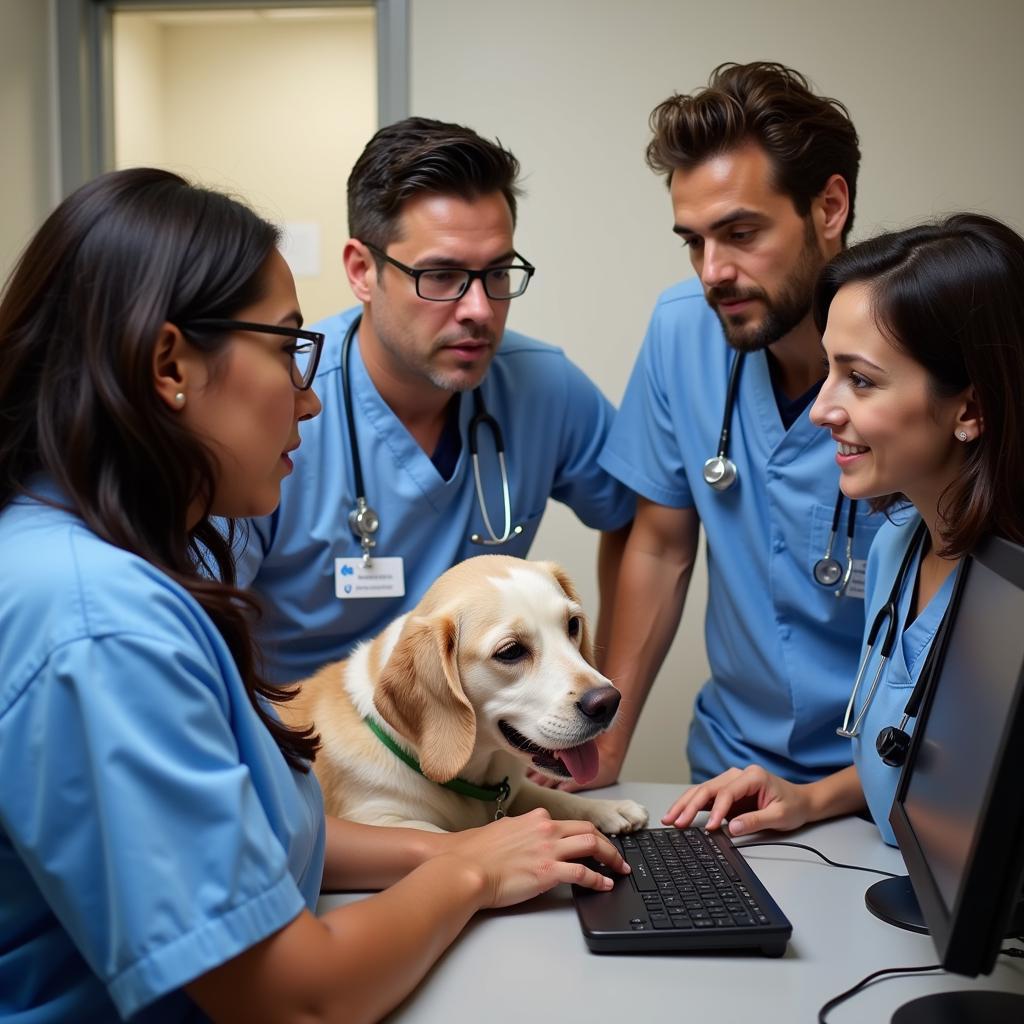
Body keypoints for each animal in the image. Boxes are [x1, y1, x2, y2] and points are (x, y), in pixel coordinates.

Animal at [282, 557, 647, 835]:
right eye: (511, 651)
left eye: (573, 624)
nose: (608, 702)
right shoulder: (374, 819)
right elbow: (449, 840)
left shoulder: (516, 789)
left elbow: (550, 795)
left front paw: (607, 808)